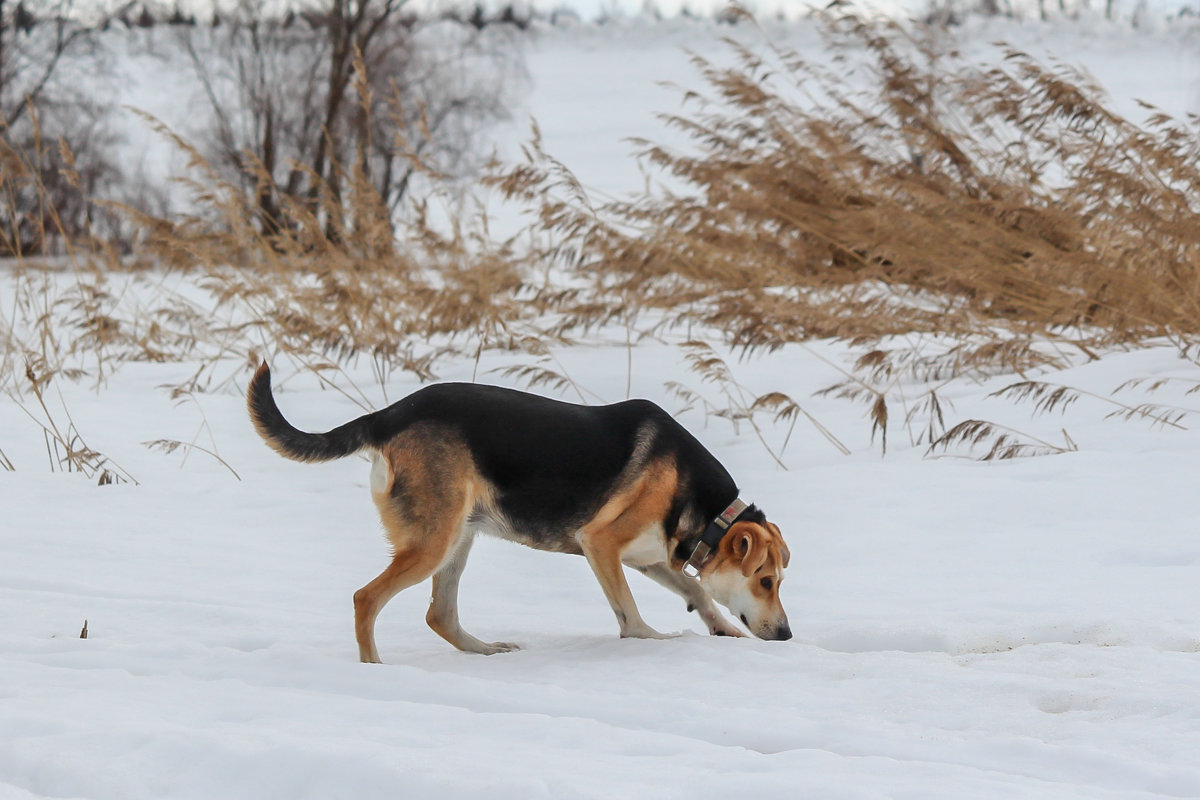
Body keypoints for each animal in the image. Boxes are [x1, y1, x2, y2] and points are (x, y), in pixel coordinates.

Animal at [248, 364, 792, 662]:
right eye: (766, 581)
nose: (787, 634)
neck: (709, 511)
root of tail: (387, 415)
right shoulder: (601, 546)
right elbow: (630, 614)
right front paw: (655, 640)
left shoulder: (649, 557)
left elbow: (697, 590)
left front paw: (723, 630)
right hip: (435, 541)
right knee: (366, 599)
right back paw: (375, 668)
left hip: (459, 538)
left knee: (439, 614)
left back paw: (485, 651)